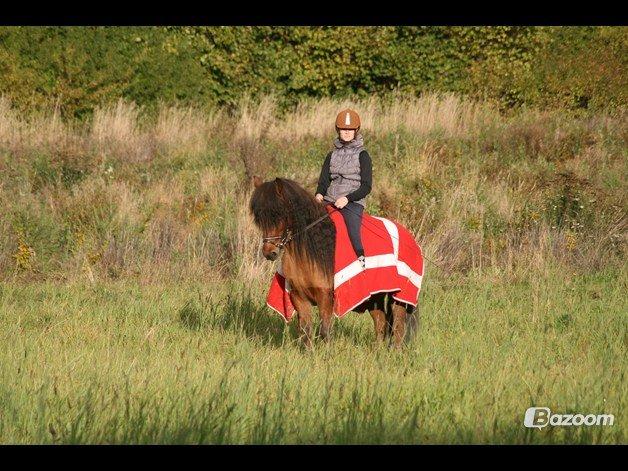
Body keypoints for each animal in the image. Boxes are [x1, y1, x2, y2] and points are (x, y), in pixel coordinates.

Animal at [249, 175, 418, 348]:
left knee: (398, 327)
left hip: (400, 296)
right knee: (381, 323)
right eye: (259, 218)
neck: (313, 252)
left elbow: (324, 331)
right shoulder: (299, 297)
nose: (269, 253)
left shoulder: (325, 297)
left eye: (279, 214)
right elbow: (306, 331)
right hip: (374, 297)